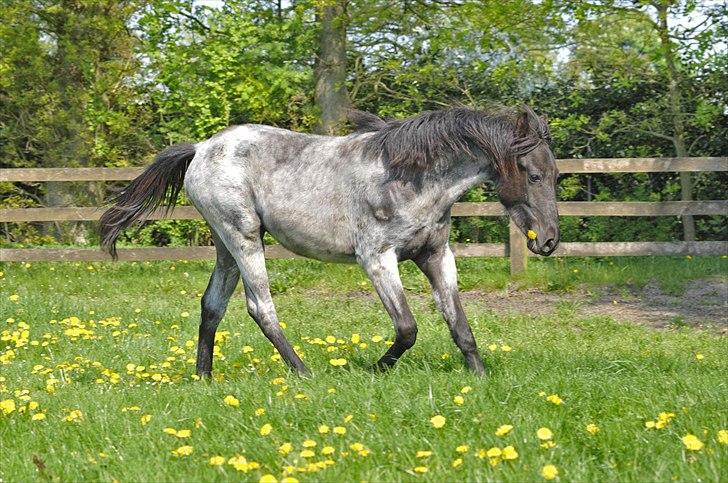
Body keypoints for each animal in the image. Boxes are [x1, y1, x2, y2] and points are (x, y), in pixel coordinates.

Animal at [99, 105, 560, 378]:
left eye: (555, 175)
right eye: (534, 175)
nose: (549, 242)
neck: (411, 179)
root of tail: (200, 148)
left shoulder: (435, 256)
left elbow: (459, 325)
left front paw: (478, 379)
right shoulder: (377, 259)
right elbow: (407, 328)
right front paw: (374, 370)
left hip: (225, 244)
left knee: (212, 305)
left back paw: (204, 379)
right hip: (243, 237)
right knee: (260, 307)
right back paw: (304, 374)